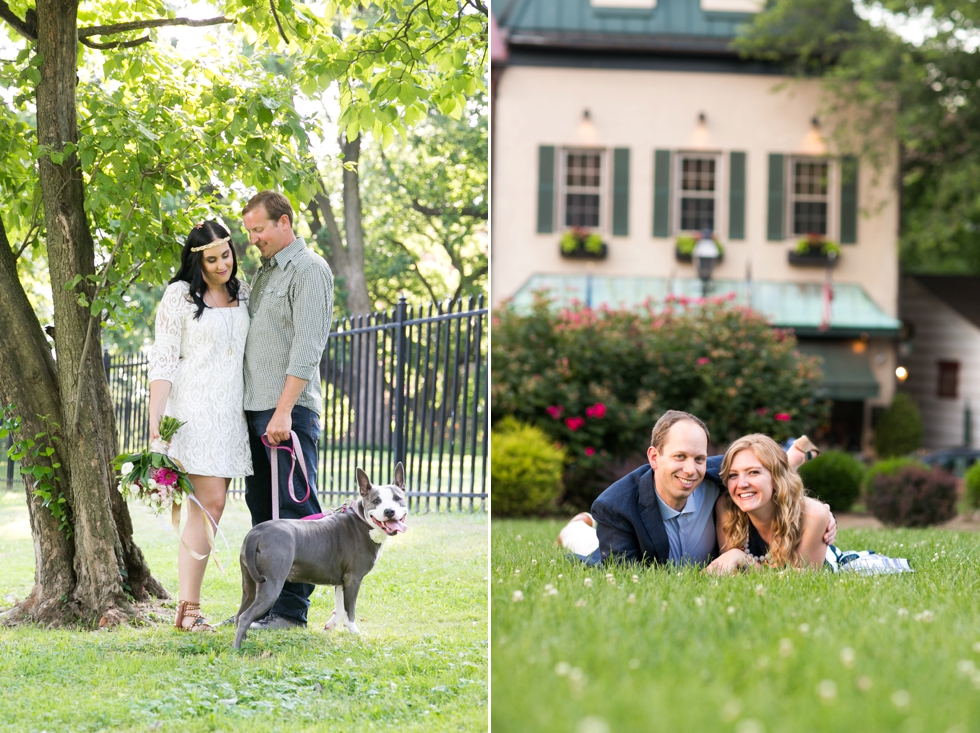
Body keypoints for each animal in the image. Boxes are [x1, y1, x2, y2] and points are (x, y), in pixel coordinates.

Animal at [234, 464, 406, 648]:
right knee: (245, 617)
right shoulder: (353, 579)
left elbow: (340, 607)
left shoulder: (342, 581)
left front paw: (331, 625)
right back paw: (237, 650)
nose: (389, 511)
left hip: (250, 583)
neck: (364, 521)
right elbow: (350, 611)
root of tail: (256, 533)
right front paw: (356, 635)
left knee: (240, 613)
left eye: (397, 498)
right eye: (376, 501)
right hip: (271, 586)